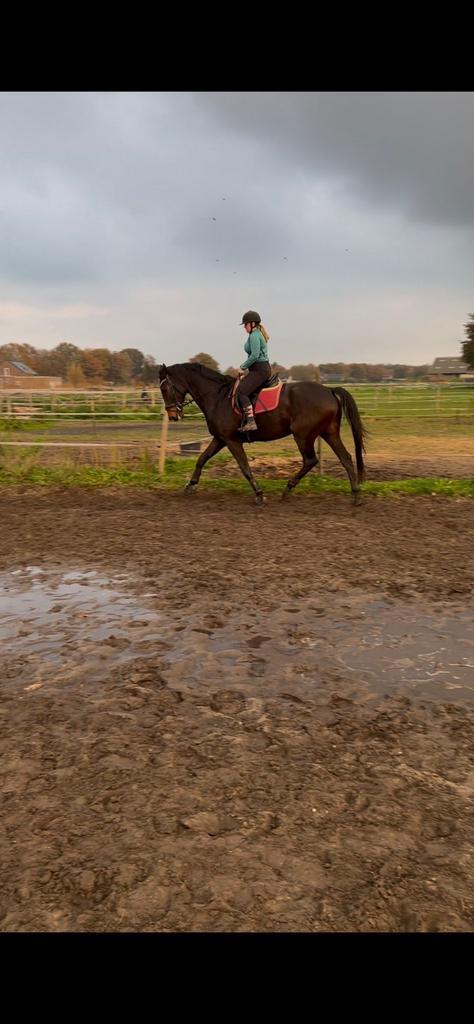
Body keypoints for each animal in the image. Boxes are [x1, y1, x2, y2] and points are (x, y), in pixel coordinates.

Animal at [158, 362, 367, 507]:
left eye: (165, 388)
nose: (173, 415)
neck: (217, 397)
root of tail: (329, 390)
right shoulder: (220, 439)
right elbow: (201, 459)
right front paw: (190, 485)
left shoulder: (231, 440)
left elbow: (244, 467)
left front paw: (259, 494)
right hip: (328, 433)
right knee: (346, 458)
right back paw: (356, 495)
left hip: (303, 435)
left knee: (310, 460)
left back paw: (287, 489)